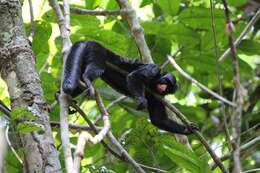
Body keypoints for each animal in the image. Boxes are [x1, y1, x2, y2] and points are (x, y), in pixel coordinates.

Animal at [62, 41, 198, 135]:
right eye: (166, 82)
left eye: (168, 89)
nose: (163, 87)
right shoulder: (154, 69)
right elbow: (134, 76)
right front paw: (142, 100)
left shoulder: (158, 97)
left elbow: (158, 119)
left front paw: (188, 129)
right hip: (96, 51)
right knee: (96, 69)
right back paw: (87, 80)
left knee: (77, 82)